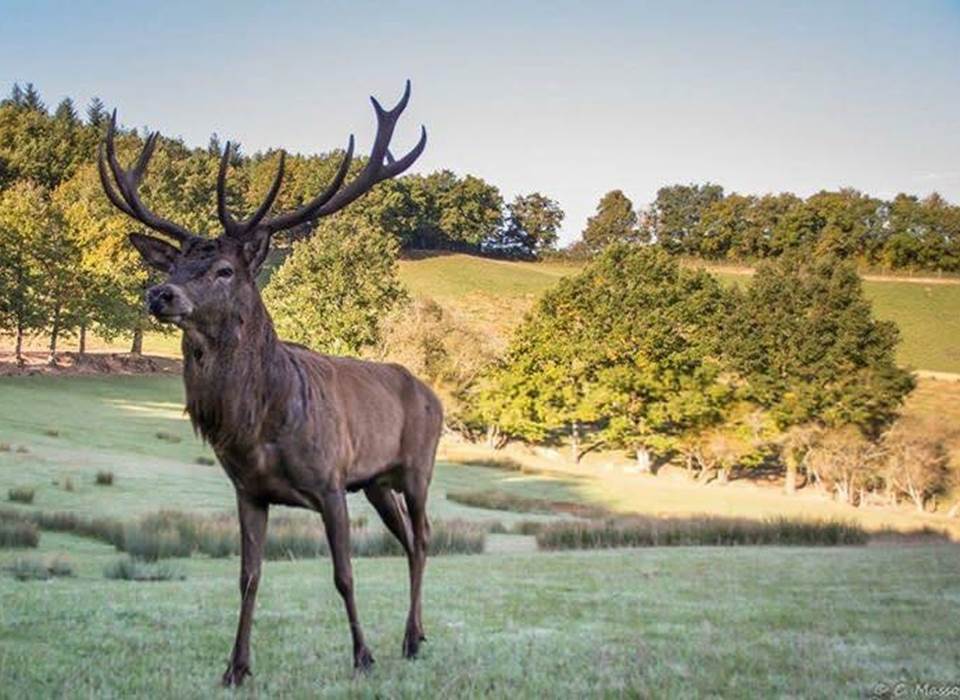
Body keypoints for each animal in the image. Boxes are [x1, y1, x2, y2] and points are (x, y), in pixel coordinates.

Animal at [97, 82, 442, 686]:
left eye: (224, 271)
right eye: (175, 265)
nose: (160, 294)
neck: (259, 425)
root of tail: (434, 395)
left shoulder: (330, 481)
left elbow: (344, 575)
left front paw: (362, 655)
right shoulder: (249, 491)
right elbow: (248, 578)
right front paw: (235, 667)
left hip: (417, 465)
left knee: (423, 538)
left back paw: (409, 638)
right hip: (376, 481)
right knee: (407, 541)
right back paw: (415, 635)